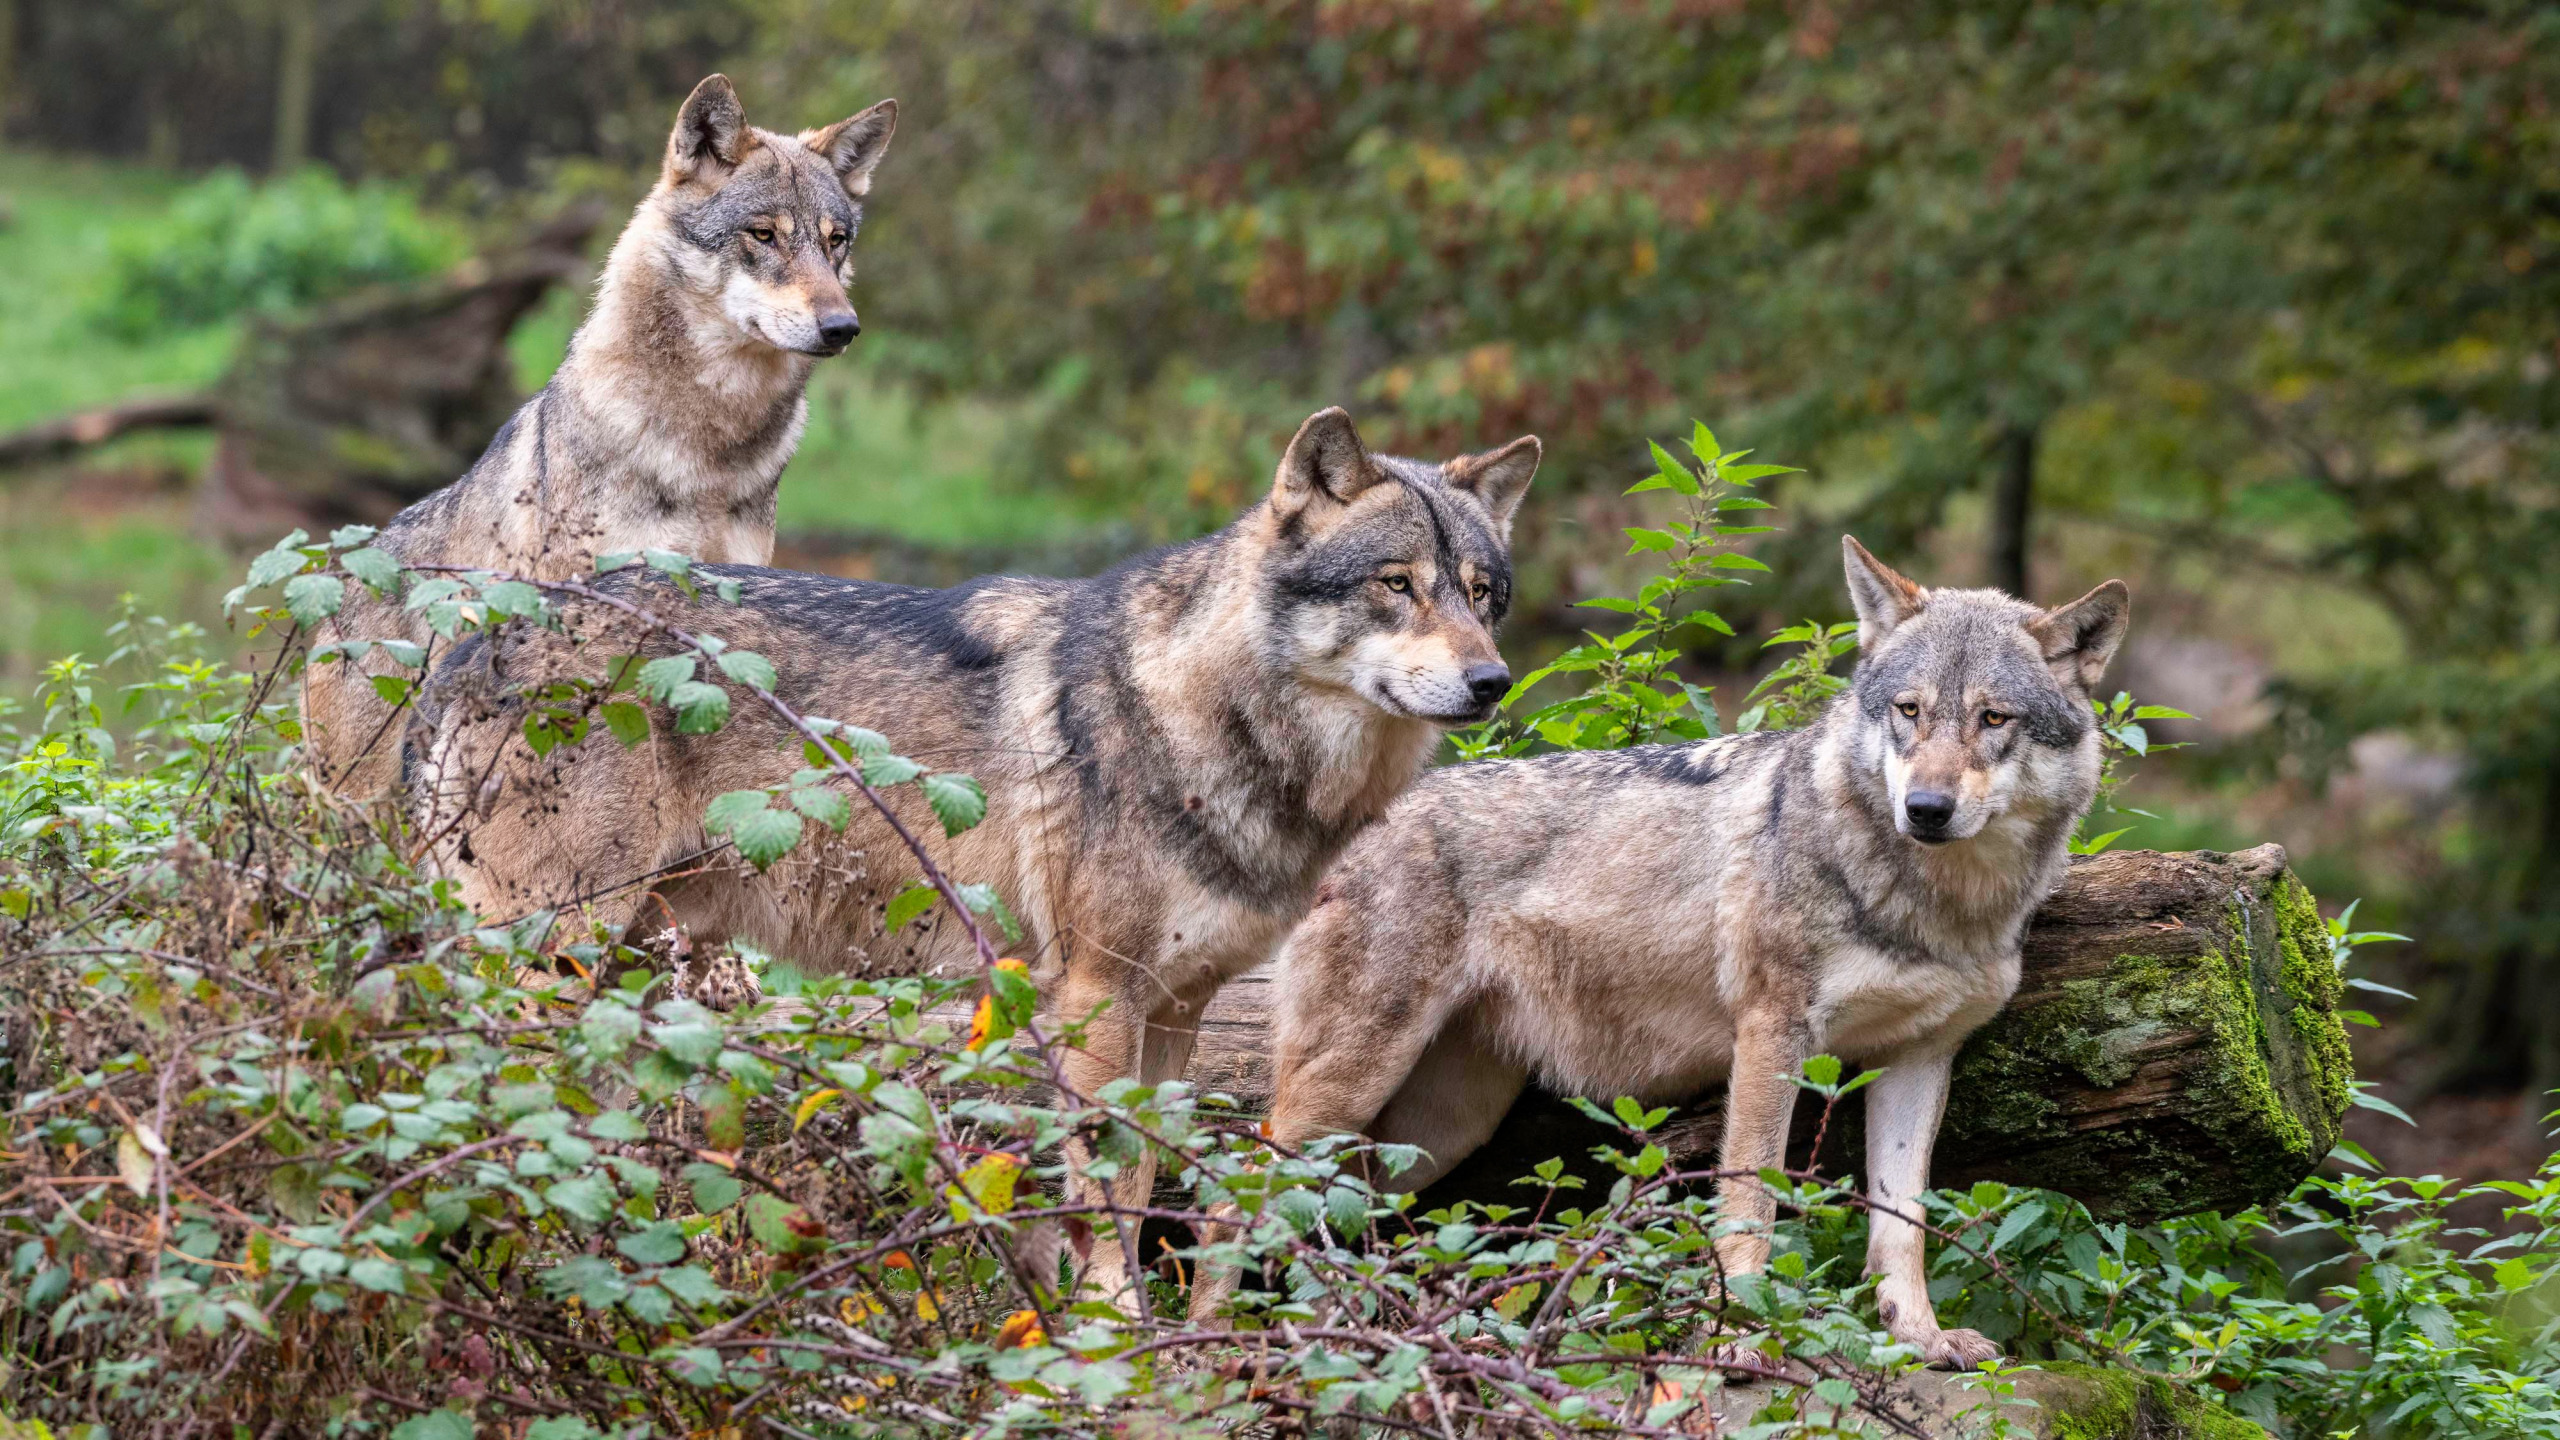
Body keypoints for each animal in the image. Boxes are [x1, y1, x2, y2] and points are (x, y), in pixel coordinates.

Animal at [419, 404, 1536, 1301]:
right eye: (1396, 584)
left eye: (1482, 594)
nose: (1492, 682)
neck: (1207, 716)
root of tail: (484, 632)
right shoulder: (1096, 996)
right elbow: (1102, 1188)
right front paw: (1112, 1330)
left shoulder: (1176, 1008)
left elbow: (1142, 1181)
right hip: (549, 958)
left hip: (631, 978)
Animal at [1187, 535, 2129, 1352]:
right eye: (1910, 712)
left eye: (1994, 718)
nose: (1926, 809)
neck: (1937, 902)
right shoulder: (1772, 1035)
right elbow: (1751, 1204)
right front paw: (1744, 1336)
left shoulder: (1920, 1058)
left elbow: (1903, 1223)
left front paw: (1920, 1342)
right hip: (1351, 1088)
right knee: (1229, 1202)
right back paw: (1211, 1349)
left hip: (1436, 1131)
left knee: (1353, 1220)